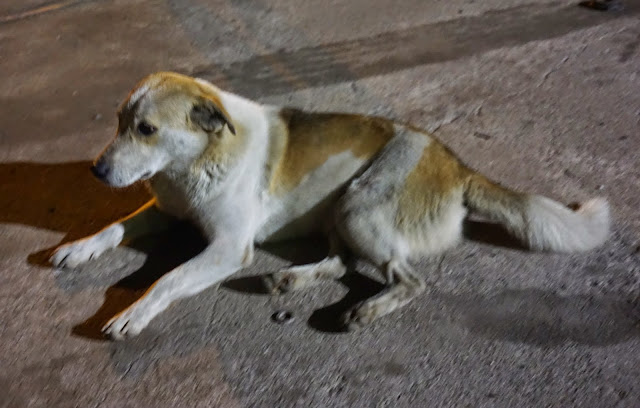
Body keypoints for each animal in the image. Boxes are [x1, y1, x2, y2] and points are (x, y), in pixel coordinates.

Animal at [50, 72, 610, 340]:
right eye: (119, 122)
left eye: (147, 129)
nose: (96, 171)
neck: (193, 165)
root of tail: (457, 165)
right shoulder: (163, 211)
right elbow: (113, 227)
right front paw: (79, 247)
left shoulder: (229, 248)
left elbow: (167, 279)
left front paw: (133, 312)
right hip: (340, 212)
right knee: (342, 261)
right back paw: (289, 279)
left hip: (358, 205)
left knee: (409, 279)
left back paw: (366, 308)